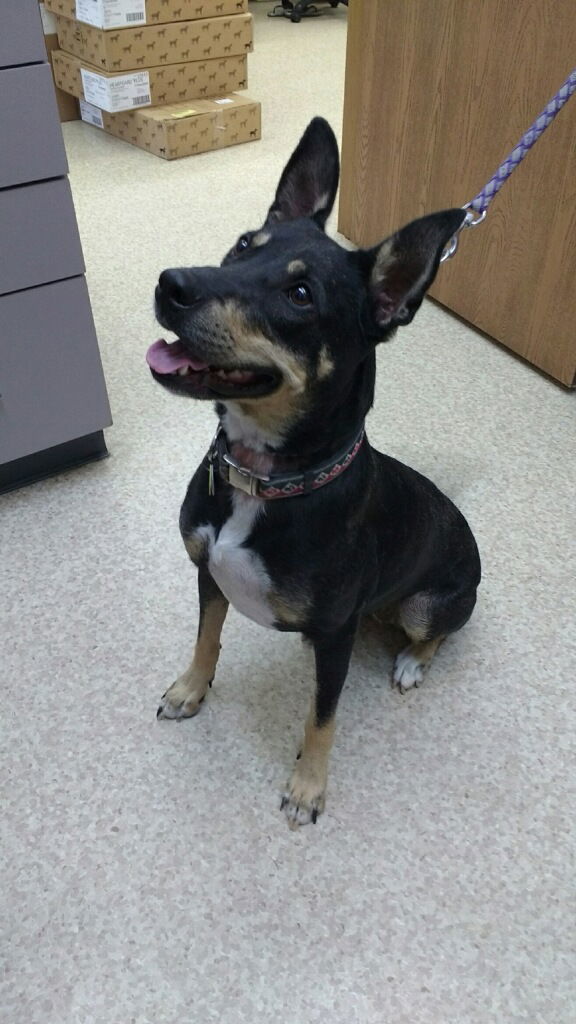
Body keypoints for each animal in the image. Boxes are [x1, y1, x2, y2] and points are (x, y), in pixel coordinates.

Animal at [146, 116, 479, 827]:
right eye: (243, 245)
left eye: (300, 294)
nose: (170, 284)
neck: (262, 479)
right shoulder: (208, 574)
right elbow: (205, 640)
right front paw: (191, 690)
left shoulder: (333, 639)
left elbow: (321, 719)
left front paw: (308, 787)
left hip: (428, 603)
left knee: (434, 633)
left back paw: (412, 663)